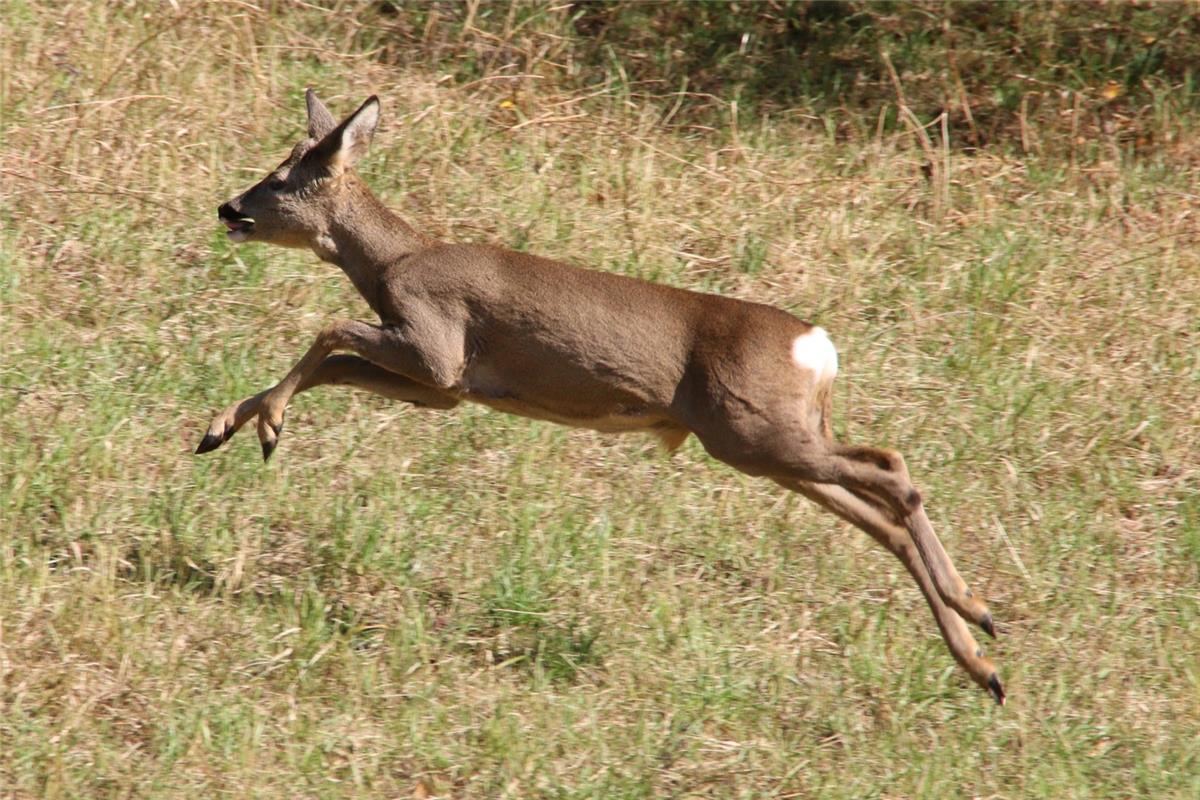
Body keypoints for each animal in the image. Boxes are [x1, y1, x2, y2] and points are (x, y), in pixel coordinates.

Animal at [196, 90, 1003, 705]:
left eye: (280, 177)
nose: (227, 207)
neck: (394, 262)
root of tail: (819, 347)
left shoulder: (438, 344)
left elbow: (329, 331)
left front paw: (258, 424)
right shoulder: (447, 389)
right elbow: (333, 362)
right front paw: (228, 427)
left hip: (754, 433)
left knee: (893, 473)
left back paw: (977, 612)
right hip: (775, 443)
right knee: (883, 509)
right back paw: (985, 659)